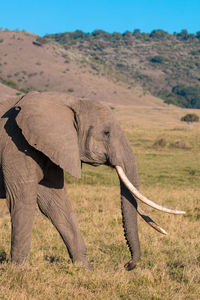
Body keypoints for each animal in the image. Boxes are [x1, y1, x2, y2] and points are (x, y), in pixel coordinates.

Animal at [0, 91, 185, 270]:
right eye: (106, 133)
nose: (127, 265)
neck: (69, 102)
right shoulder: (16, 146)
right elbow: (22, 200)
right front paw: (19, 271)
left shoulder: (53, 149)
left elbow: (55, 204)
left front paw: (86, 269)